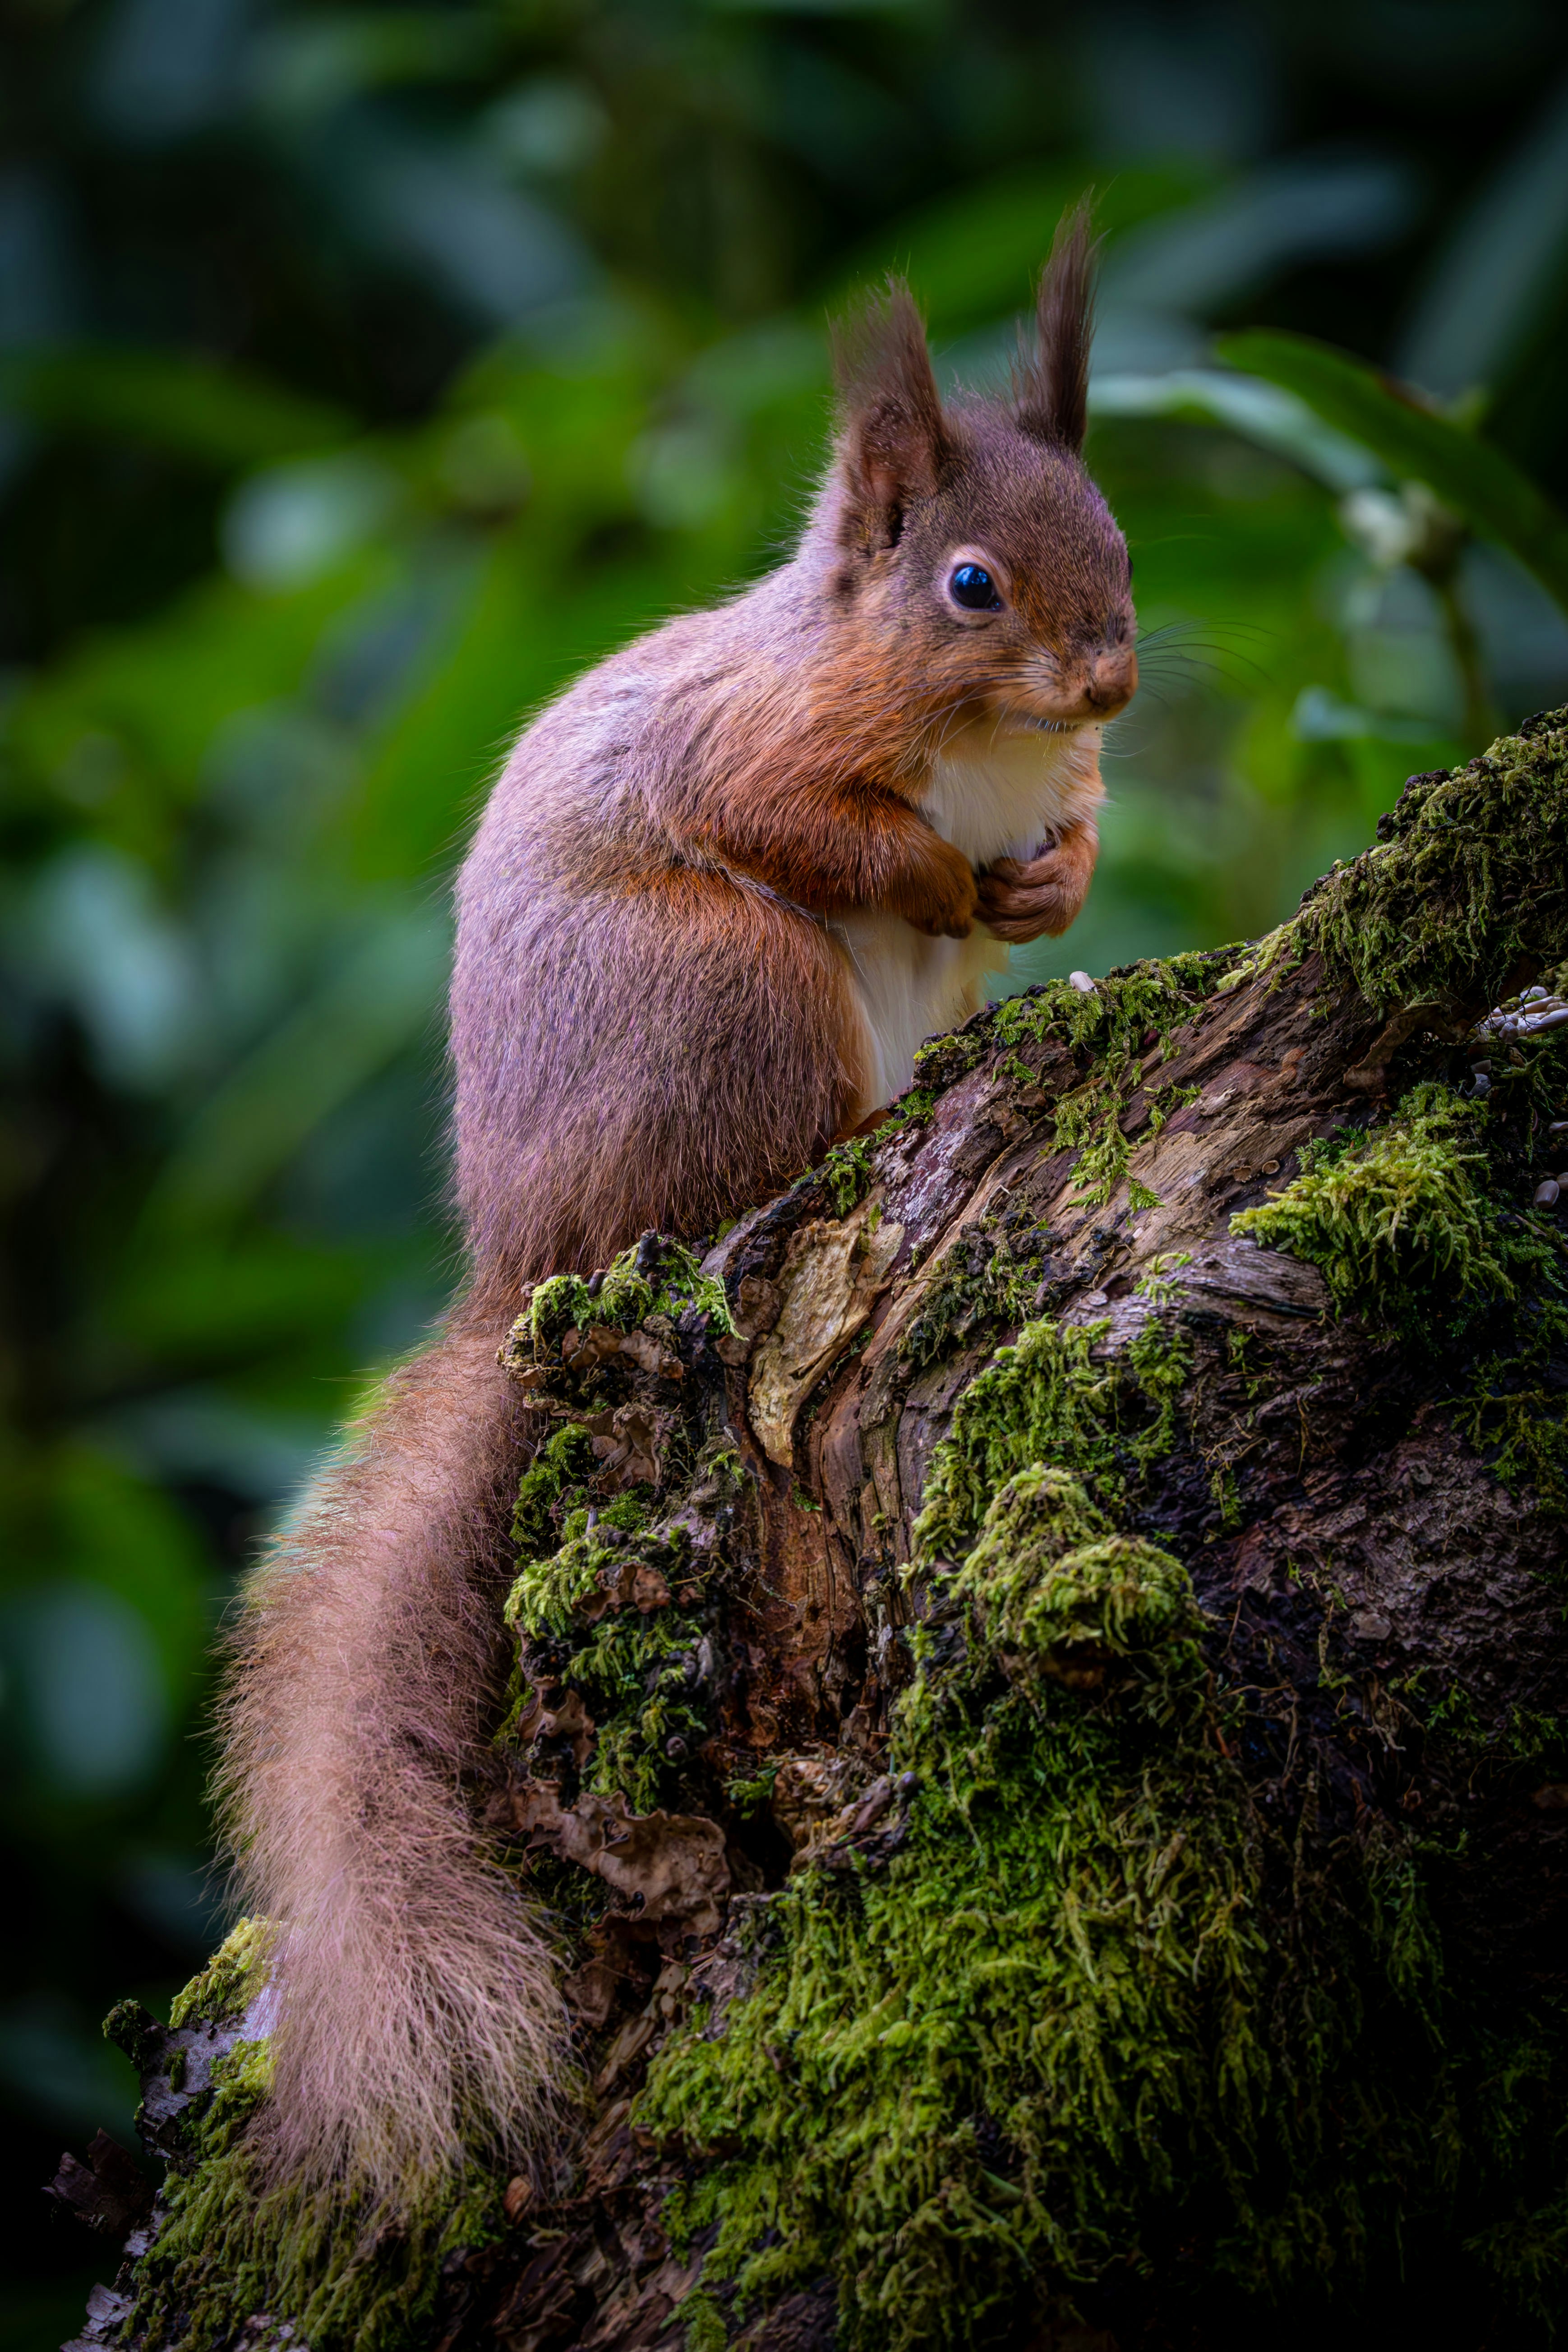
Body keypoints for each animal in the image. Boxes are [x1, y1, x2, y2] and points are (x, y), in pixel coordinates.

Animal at [217, 205, 1136, 2207]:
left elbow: (1078, 832)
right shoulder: (751, 755)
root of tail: (531, 1258)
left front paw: (1054, 881)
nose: (1111, 682)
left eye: (1117, 541)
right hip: (739, 992)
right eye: (968, 584)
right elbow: (824, 829)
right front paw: (940, 873)